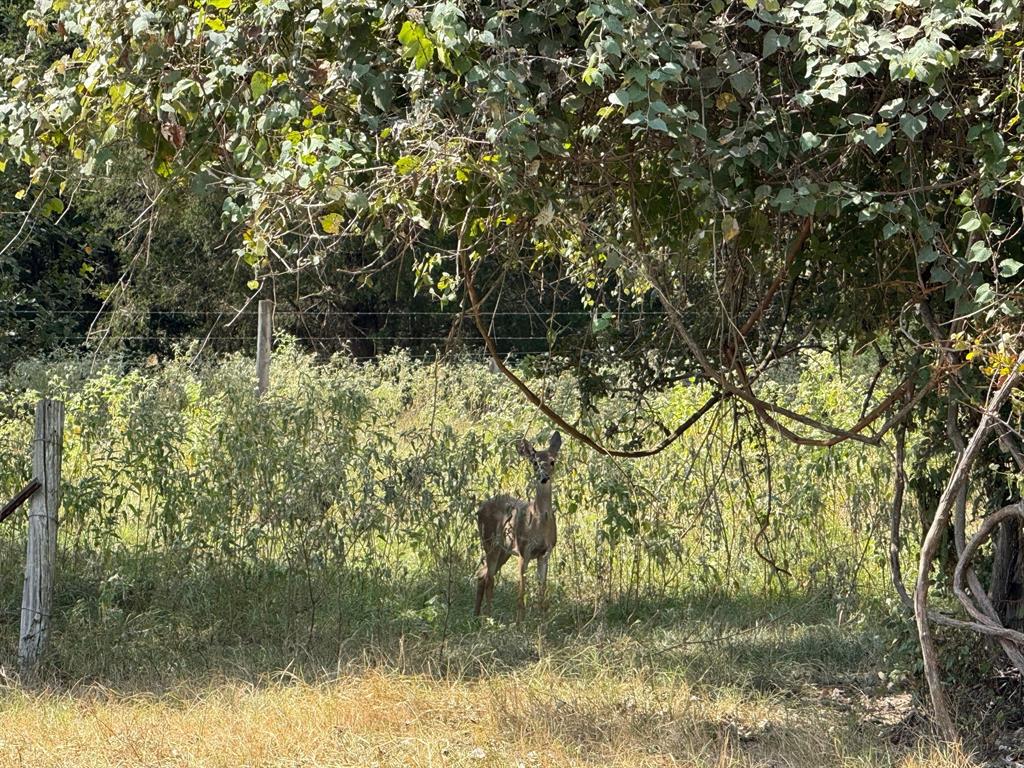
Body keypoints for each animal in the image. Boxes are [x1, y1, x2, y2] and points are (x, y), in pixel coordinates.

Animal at [475, 430, 565, 622]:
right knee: (490, 579)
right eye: (534, 462)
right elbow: (521, 592)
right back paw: (488, 618)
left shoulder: (545, 552)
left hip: (504, 551)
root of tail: (479, 509)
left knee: (482, 574)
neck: (539, 523)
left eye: (552, 461)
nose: (544, 477)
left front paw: (542, 620)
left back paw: (476, 615)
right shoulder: (524, 550)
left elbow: (542, 590)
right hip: (490, 543)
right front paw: (520, 622)